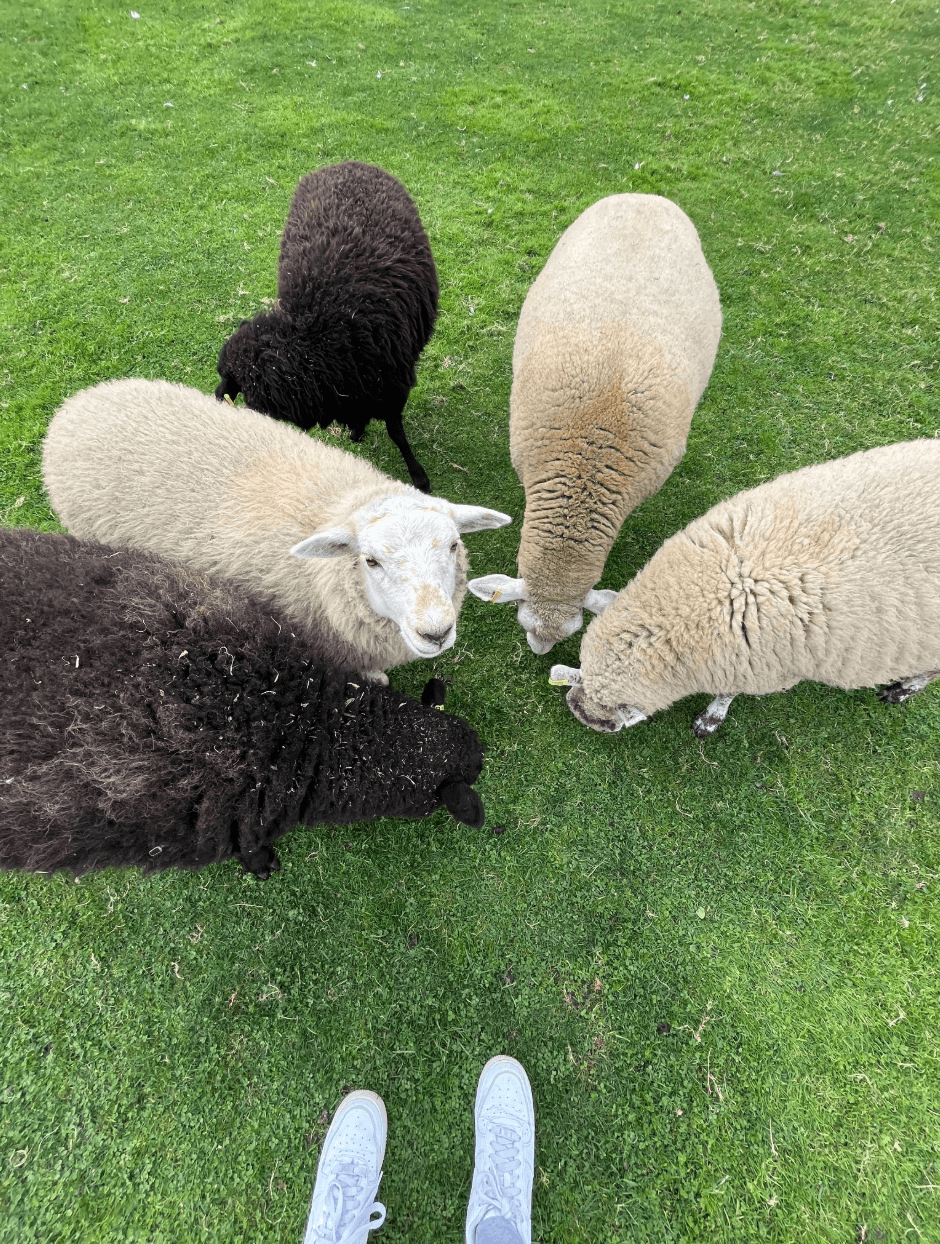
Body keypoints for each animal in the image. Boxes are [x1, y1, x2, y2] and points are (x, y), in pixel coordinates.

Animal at [215, 161, 439, 492]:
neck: (312, 335)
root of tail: (347, 163)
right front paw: (358, 432)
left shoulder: (391, 387)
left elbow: (397, 434)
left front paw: (419, 477)